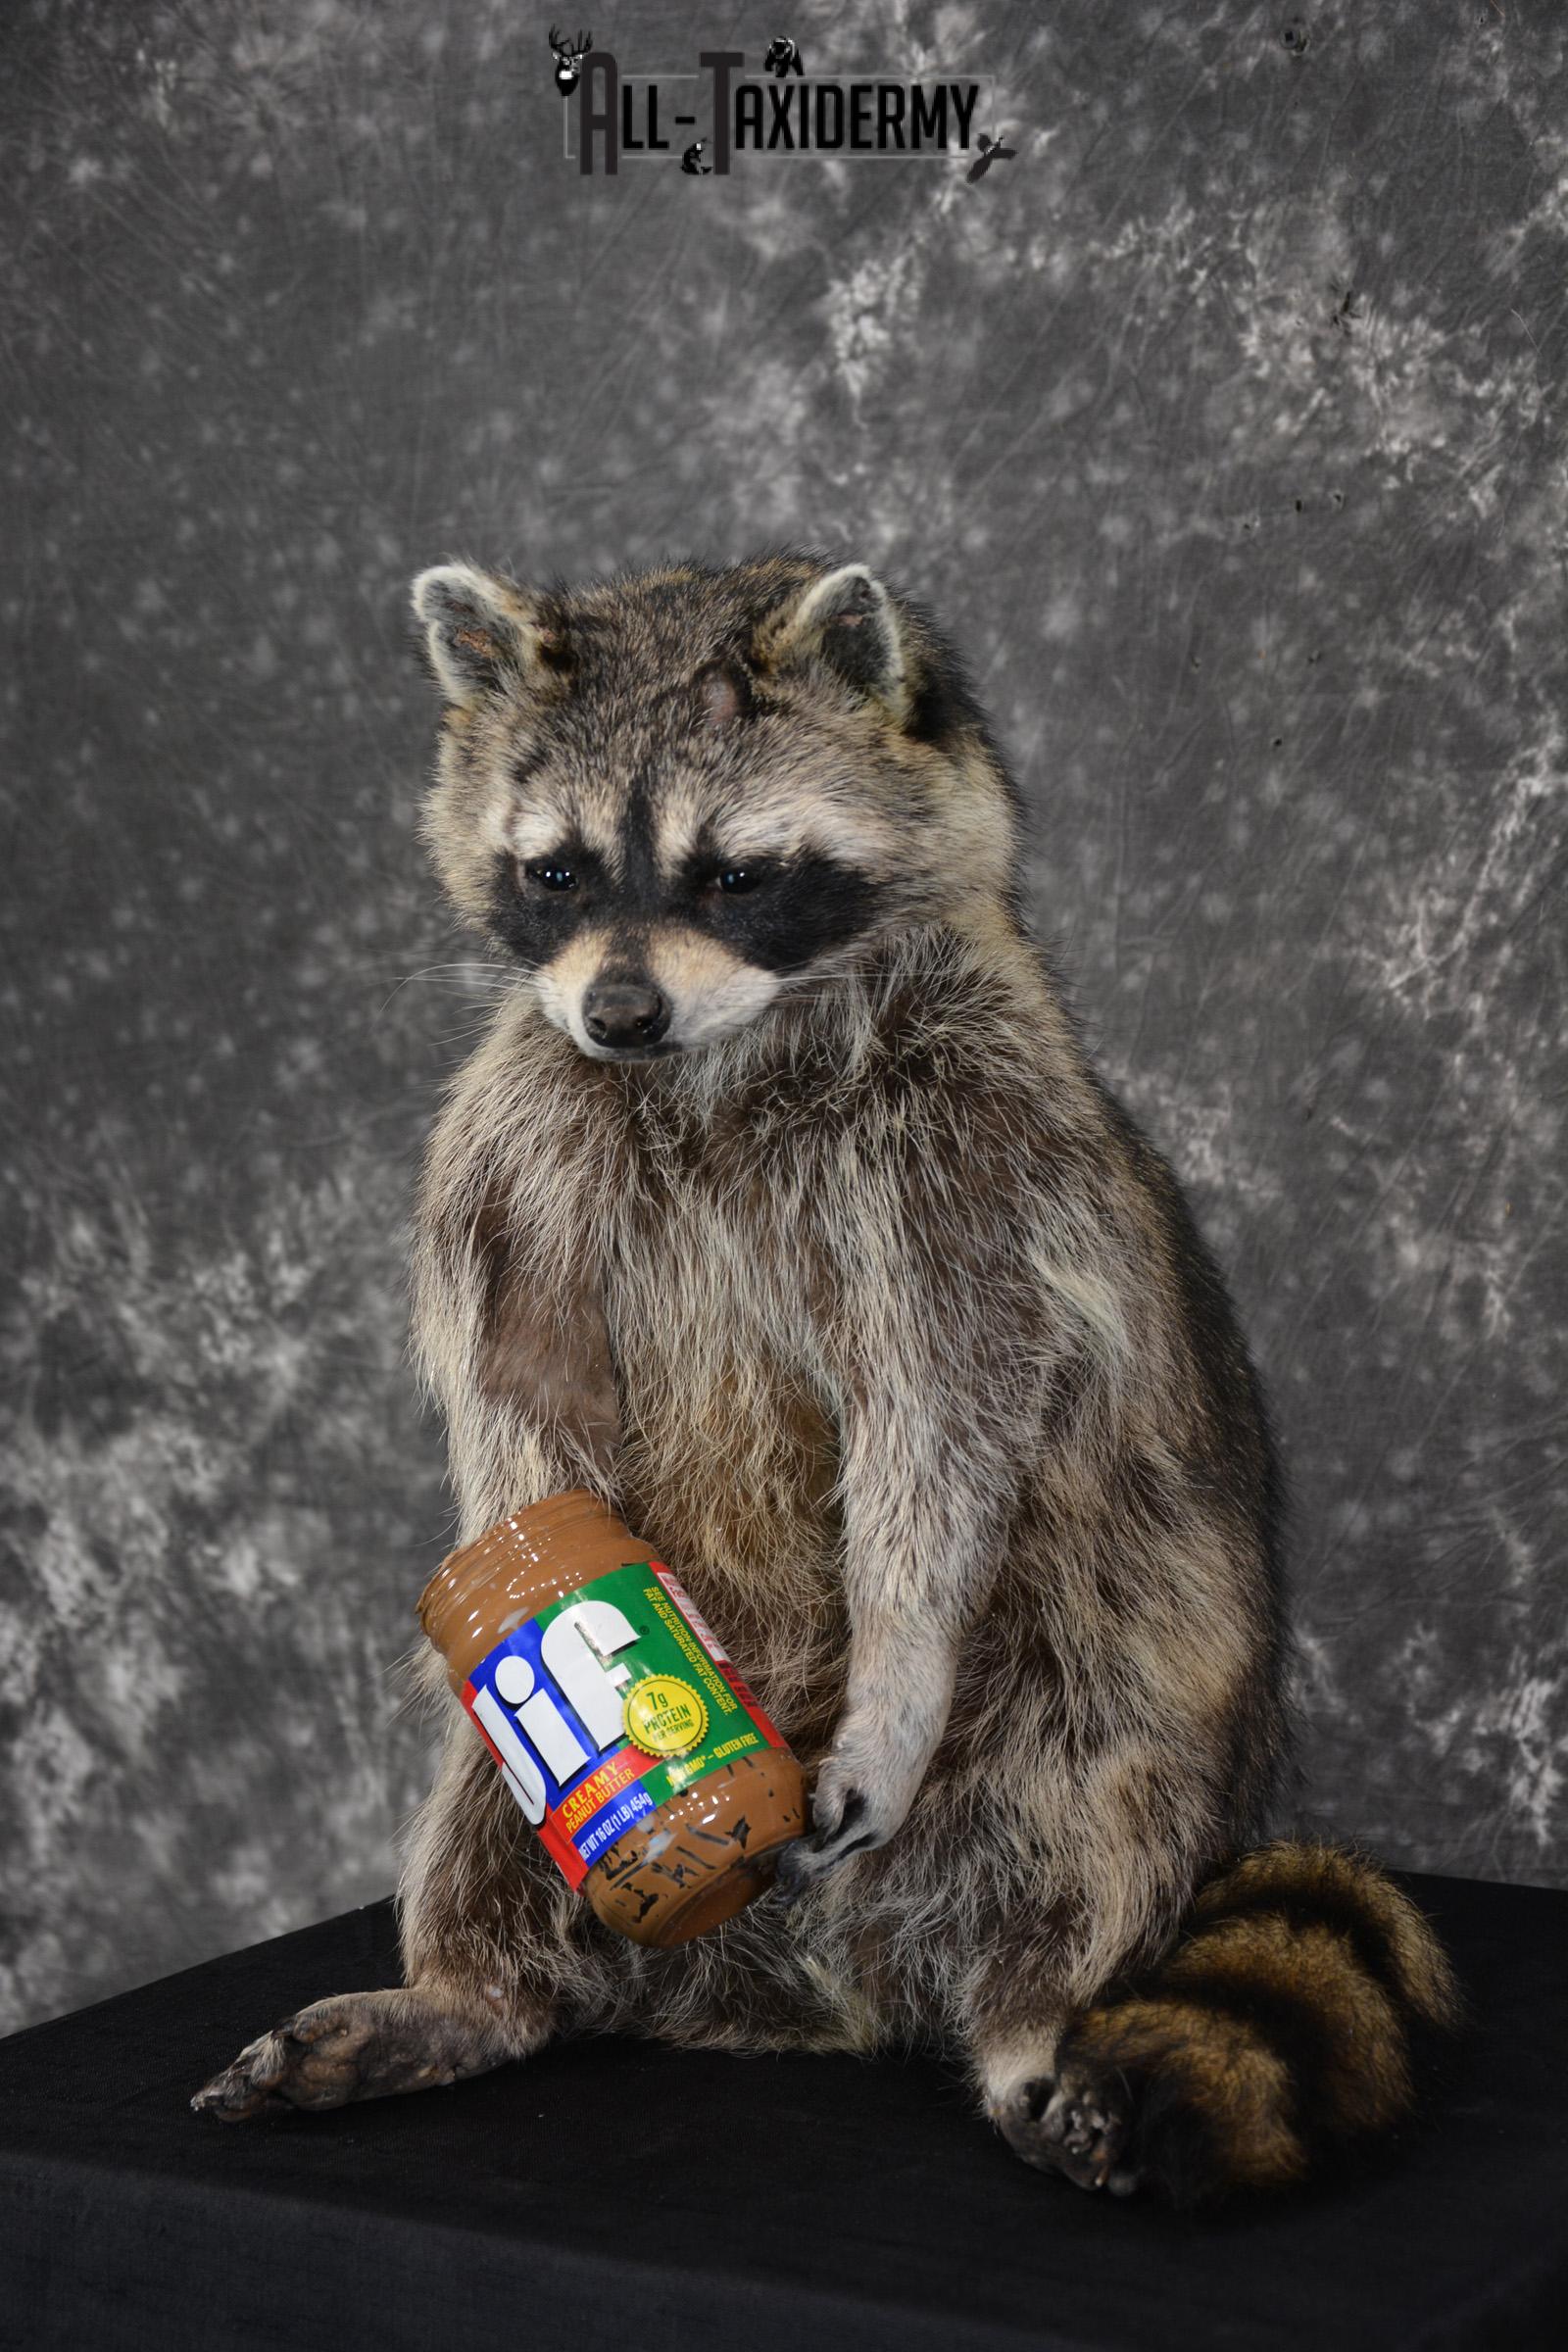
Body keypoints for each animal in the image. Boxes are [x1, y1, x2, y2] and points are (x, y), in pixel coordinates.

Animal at [193, 551, 1457, 2202]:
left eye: (735, 875)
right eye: (559, 874)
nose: (620, 1014)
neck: (718, 1053)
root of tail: (810, 1995)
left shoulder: (970, 1151)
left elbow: (944, 1414)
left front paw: (894, 1671)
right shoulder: (517, 1133)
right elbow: (521, 1395)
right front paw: (546, 1610)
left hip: (1116, 1667)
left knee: (1097, 1810)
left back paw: (1028, 2024)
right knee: (480, 1815)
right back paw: (474, 1989)